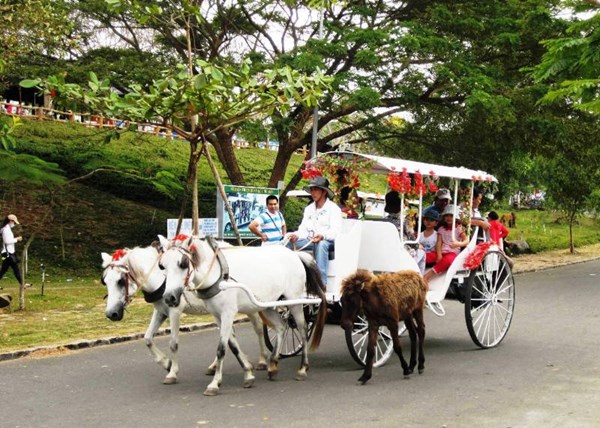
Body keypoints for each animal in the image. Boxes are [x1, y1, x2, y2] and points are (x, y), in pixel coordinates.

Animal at [158, 236, 328, 396]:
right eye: (162, 265)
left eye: (183, 263)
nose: (169, 298)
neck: (218, 274)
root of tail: (295, 254)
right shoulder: (217, 316)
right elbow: (233, 346)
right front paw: (248, 374)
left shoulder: (228, 313)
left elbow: (221, 348)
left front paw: (214, 384)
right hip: (267, 304)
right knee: (280, 326)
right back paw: (273, 365)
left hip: (295, 301)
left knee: (302, 329)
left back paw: (303, 368)